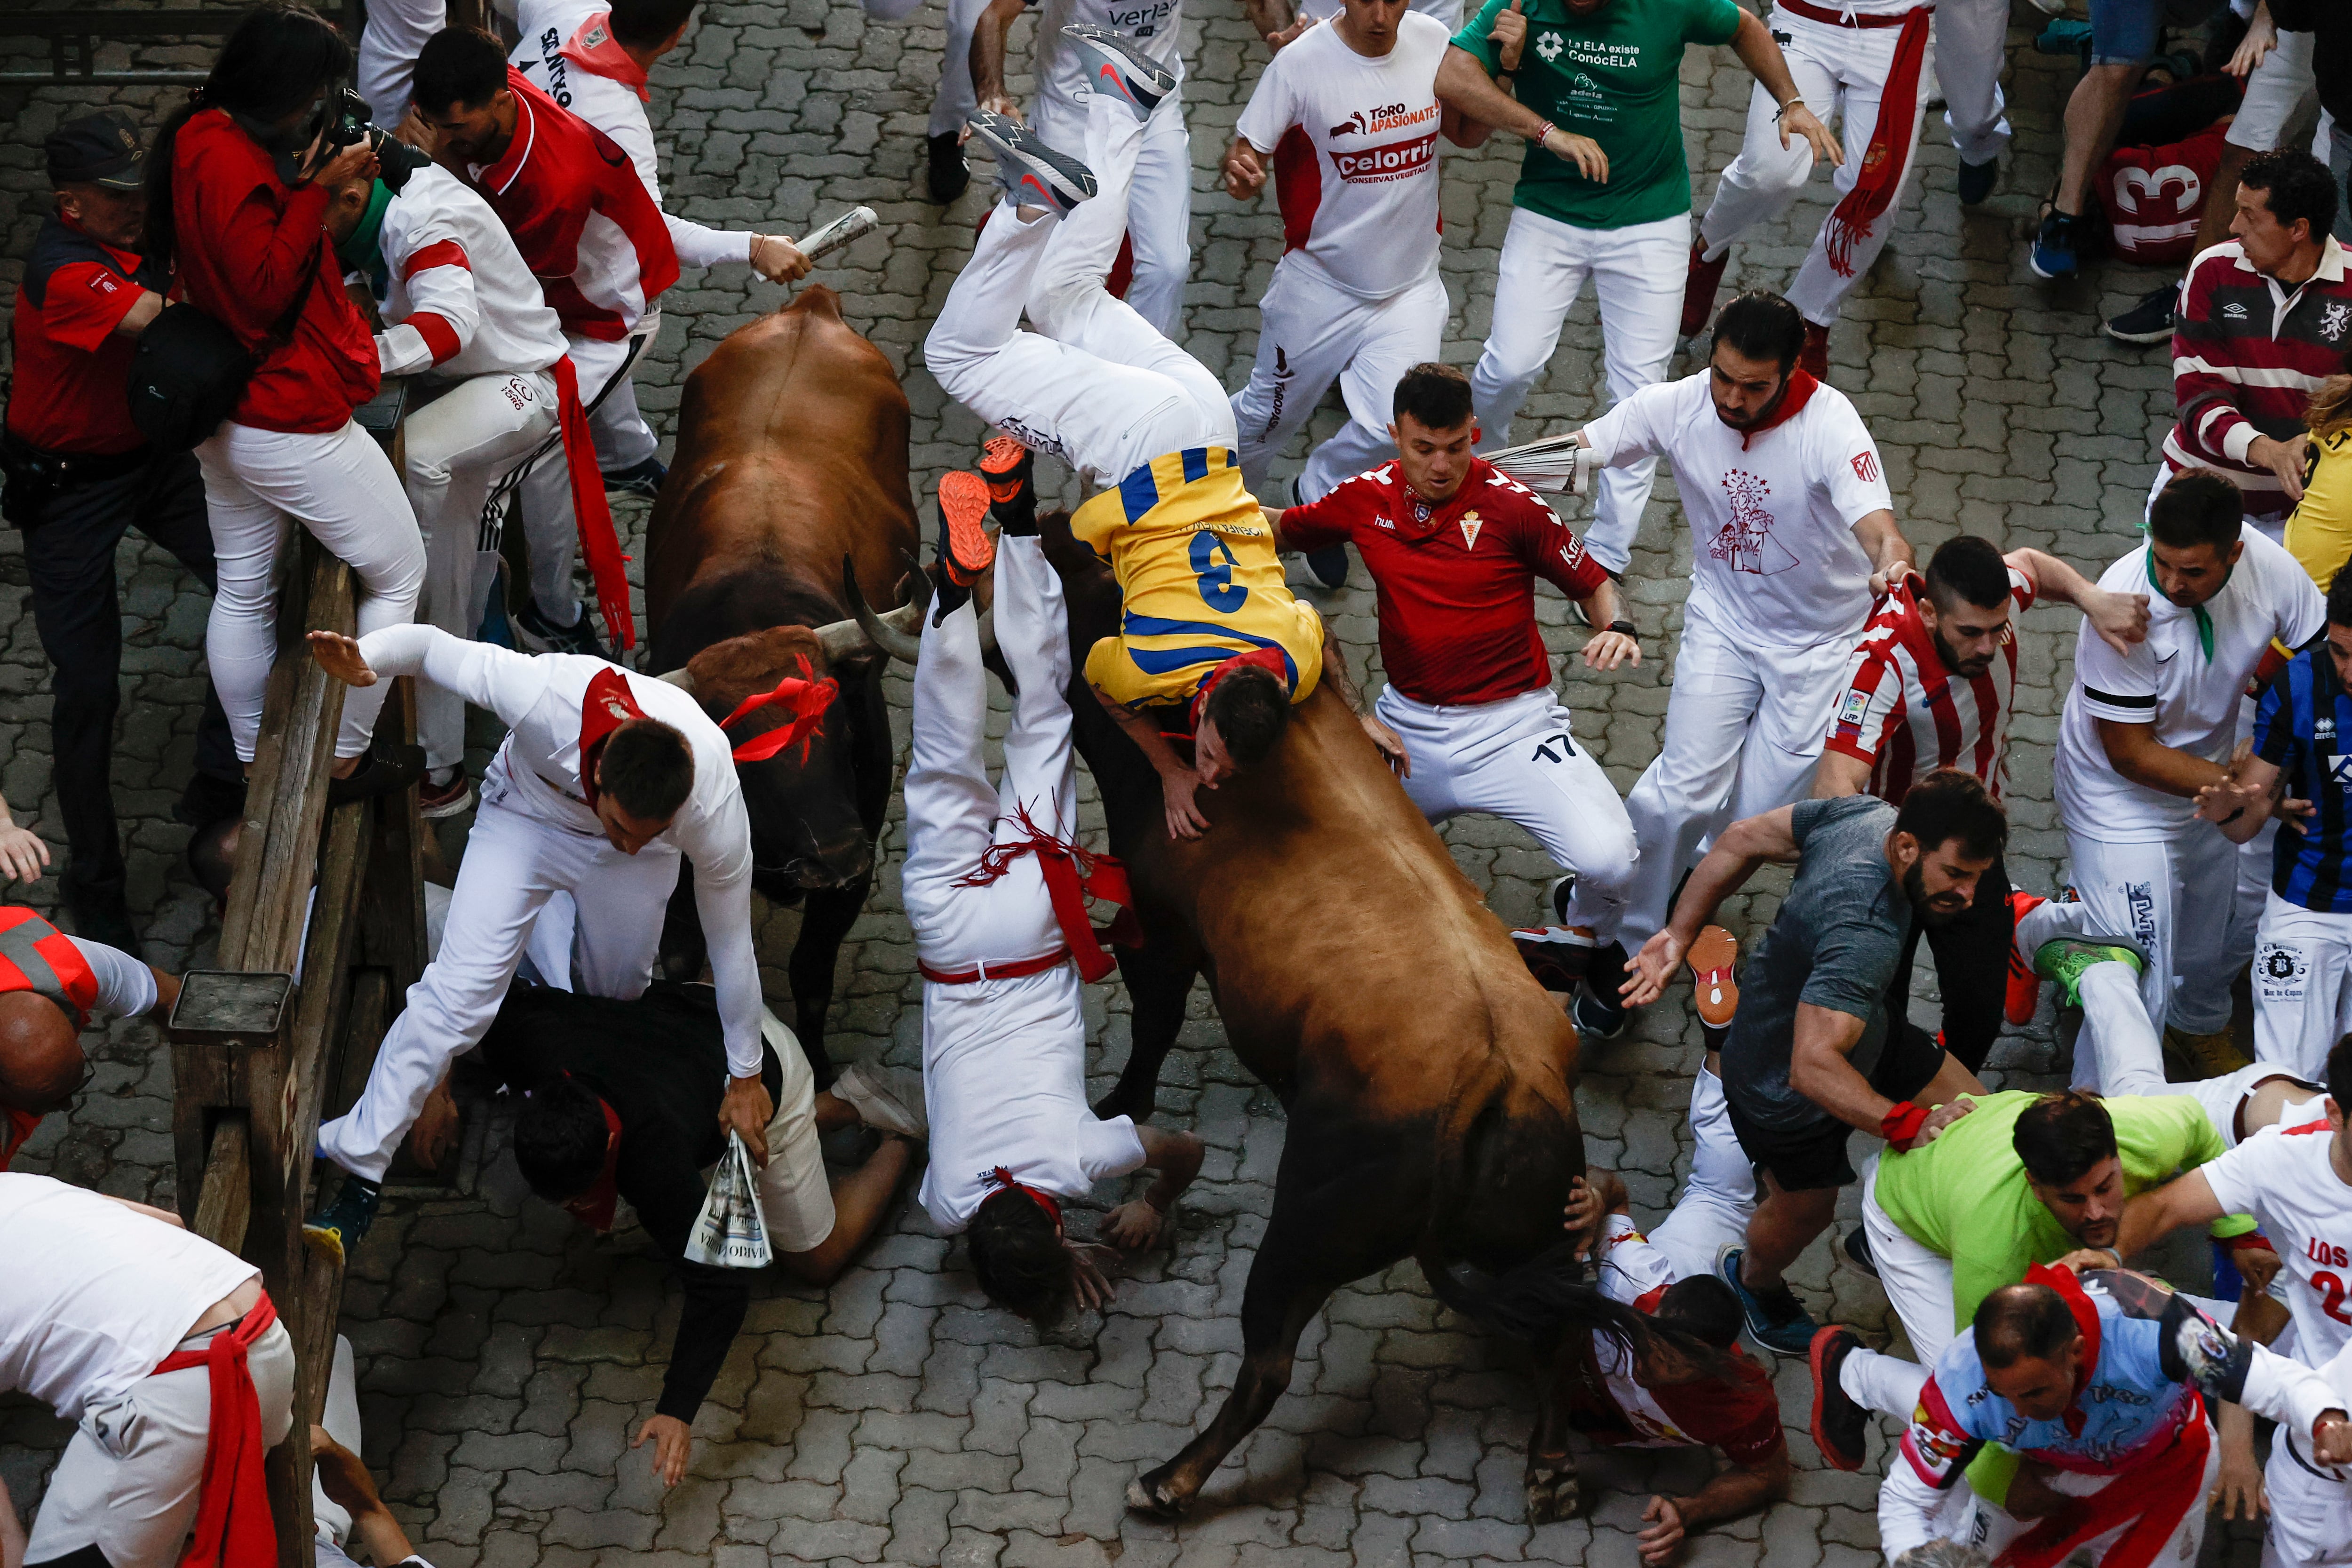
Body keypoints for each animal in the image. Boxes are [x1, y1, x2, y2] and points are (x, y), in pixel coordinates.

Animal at [644, 288, 917, 1081]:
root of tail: (810, 307)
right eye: (741, 755)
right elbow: (686, 960)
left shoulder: (857, 867)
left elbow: (811, 973)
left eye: (839, 724)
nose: (835, 855)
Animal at [1040, 515, 1628, 1523]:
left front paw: (1118, 1100)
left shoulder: (1162, 932)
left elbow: (1152, 1028)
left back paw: (1170, 1478)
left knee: (1269, 1359)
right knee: (1556, 1323)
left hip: (1303, 1229)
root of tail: (1502, 1069)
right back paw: (1551, 1468)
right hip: (1540, 1221)